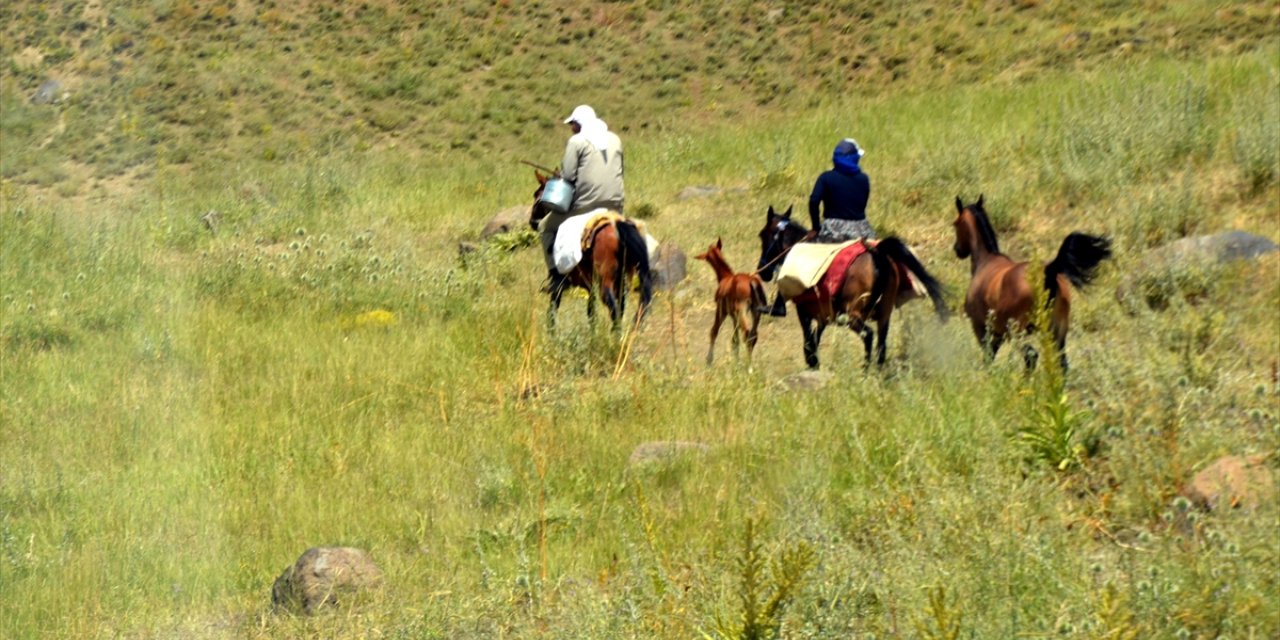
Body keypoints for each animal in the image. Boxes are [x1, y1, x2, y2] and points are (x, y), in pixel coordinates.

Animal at [529, 171, 655, 325]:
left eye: (537, 195)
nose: (532, 221)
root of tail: (616, 223)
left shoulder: (559, 285)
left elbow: (553, 308)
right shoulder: (590, 287)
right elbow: (591, 313)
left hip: (605, 281)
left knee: (613, 308)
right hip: (621, 280)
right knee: (621, 306)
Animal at [696, 238, 762, 366]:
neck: (725, 277)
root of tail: (752, 282)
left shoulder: (721, 310)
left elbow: (714, 331)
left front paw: (709, 360)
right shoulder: (733, 316)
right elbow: (734, 340)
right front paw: (736, 361)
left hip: (742, 310)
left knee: (747, 333)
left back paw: (748, 365)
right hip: (756, 311)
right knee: (753, 335)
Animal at [747, 204, 952, 371]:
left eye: (762, 234)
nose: (763, 271)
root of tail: (877, 253)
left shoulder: (804, 311)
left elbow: (808, 338)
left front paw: (812, 362)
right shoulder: (823, 313)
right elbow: (816, 336)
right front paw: (814, 361)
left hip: (854, 314)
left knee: (868, 335)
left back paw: (865, 369)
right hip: (883, 314)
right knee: (881, 342)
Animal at [952, 197, 1111, 373]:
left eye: (955, 224)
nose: (957, 249)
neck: (986, 261)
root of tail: (1048, 273)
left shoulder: (981, 327)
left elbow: (988, 357)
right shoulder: (998, 334)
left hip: (1018, 332)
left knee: (1031, 356)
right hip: (1056, 332)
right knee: (1061, 363)